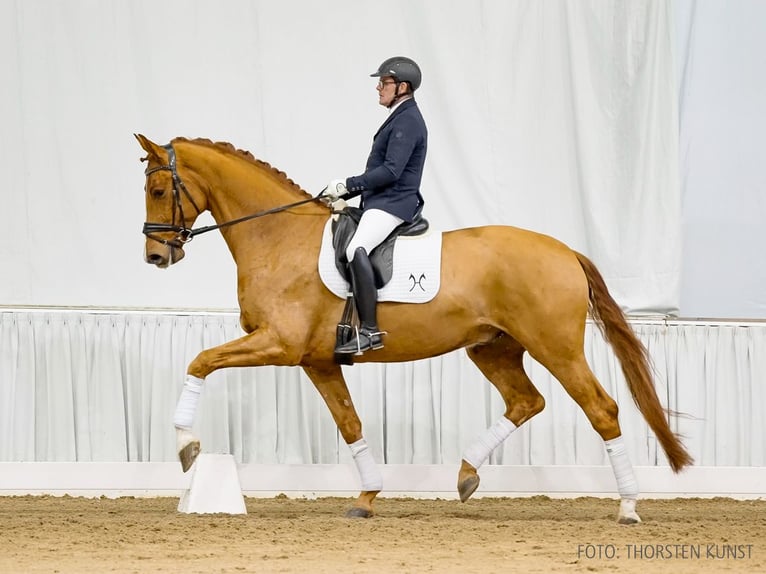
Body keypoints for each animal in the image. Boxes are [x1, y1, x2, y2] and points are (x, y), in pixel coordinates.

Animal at [138, 135, 696, 528]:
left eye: (159, 190)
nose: (155, 256)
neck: (279, 237)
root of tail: (566, 251)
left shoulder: (279, 344)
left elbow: (200, 360)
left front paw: (187, 447)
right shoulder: (317, 360)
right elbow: (350, 424)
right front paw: (367, 497)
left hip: (556, 348)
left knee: (601, 409)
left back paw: (628, 508)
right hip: (493, 349)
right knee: (526, 401)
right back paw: (467, 474)